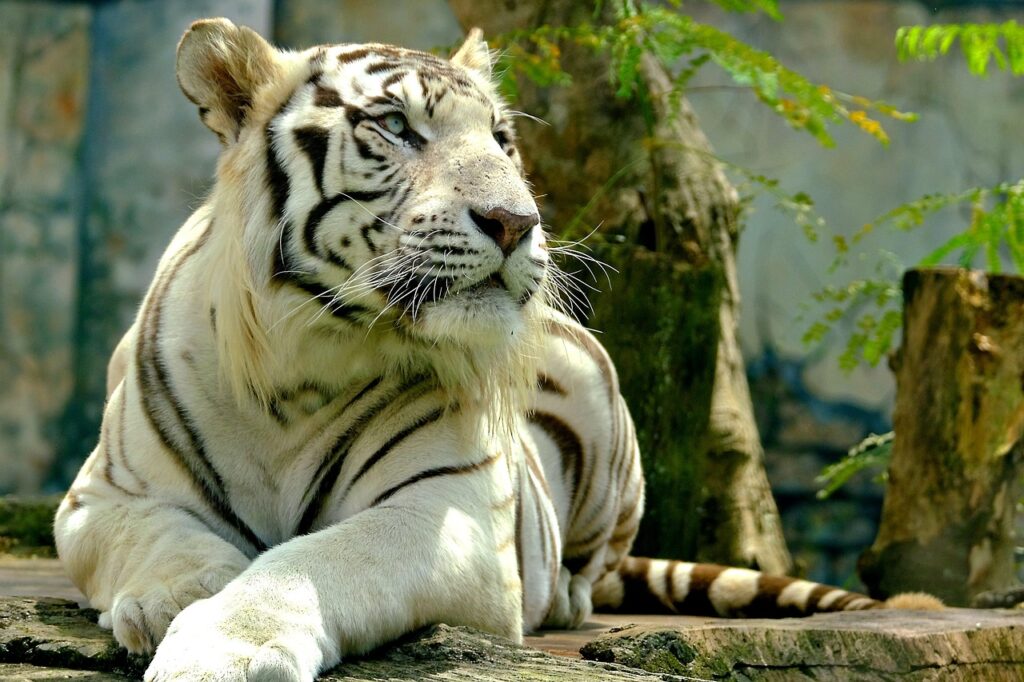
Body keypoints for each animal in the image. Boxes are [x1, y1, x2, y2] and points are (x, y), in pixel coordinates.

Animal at [53, 18, 940, 682]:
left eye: (503, 140)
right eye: (396, 128)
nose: (518, 222)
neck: (302, 362)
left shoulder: (447, 514)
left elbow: (317, 559)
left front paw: (225, 646)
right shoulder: (100, 497)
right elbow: (163, 536)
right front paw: (171, 598)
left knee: (593, 567)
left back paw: (569, 598)